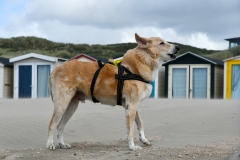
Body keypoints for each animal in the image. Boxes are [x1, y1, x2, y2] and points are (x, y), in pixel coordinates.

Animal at [46, 33, 179, 151]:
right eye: (162, 43)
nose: (178, 47)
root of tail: (56, 68)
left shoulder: (132, 106)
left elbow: (139, 124)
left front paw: (144, 139)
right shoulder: (132, 107)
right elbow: (131, 130)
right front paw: (132, 146)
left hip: (71, 105)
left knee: (60, 126)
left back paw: (62, 144)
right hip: (62, 104)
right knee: (52, 124)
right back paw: (50, 144)